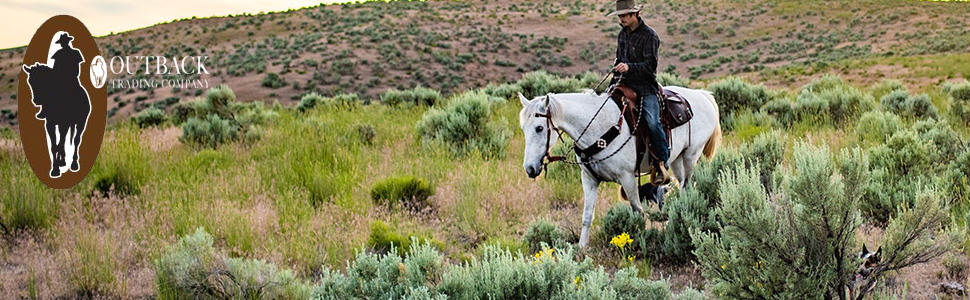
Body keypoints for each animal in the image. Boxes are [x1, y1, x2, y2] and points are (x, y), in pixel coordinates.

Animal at [520, 87, 720, 248]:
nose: (530, 168)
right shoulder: (589, 179)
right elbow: (587, 216)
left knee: (687, 186)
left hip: (691, 155)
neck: (598, 128)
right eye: (523, 128)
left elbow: (638, 212)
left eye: (539, 128)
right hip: (677, 158)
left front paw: (641, 241)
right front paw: (581, 248)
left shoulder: (628, 178)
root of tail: (702, 95)